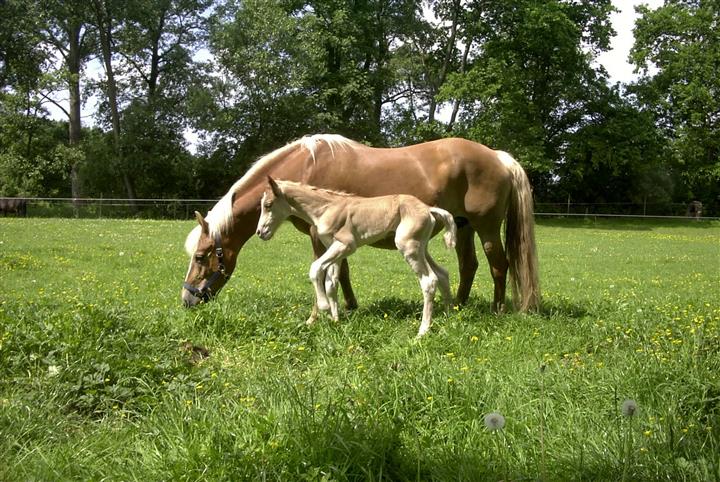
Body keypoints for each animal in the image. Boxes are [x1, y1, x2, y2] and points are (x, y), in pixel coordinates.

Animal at [184, 134, 540, 312]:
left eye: (201, 257)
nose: (187, 300)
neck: (305, 167)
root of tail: (498, 157)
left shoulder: (318, 234)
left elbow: (326, 271)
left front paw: (326, 310)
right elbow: (341, 272)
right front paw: (350, 306)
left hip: (487, 228)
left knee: (499, 265)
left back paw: (497, 309)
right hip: (464, 227)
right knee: (469, 265)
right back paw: (459, 307)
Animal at [256, 177, 452, 336]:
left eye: (268, 205)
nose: (260, 232)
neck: (325, 209)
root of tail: (428, 209)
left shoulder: (346, 245)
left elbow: (315, 268)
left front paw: (324, 307)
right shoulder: (334, 249)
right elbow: (331, 283)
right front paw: (335, 320)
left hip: (408, 247)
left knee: (429, 281)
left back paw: (423, 331)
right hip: (421, 248)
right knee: (442, 273)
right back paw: (450, 313)